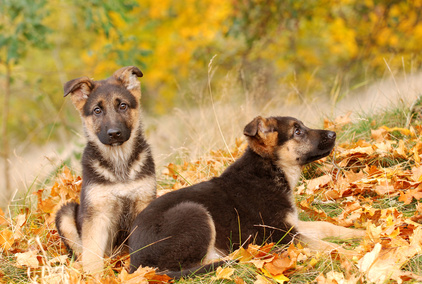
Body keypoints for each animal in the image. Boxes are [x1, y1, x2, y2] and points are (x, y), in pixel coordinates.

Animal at [55, 66, 156, 276]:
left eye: (123, 106)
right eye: (97, 110)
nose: (114, 134)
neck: (119, 163)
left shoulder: (144, 202)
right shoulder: (97, 214)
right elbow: (92, 254)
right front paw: (94, 277)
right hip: (65, 213)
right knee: (81, 253)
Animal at [129, 115, 366, 278]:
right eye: (297, 131)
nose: (333, 134)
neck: (270, 169)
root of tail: (135, 264)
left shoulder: (292, 226)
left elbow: (329, 228)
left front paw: (363, 234)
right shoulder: (283, 236)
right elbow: (329, 246)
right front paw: (355, 254)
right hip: (193, 211)